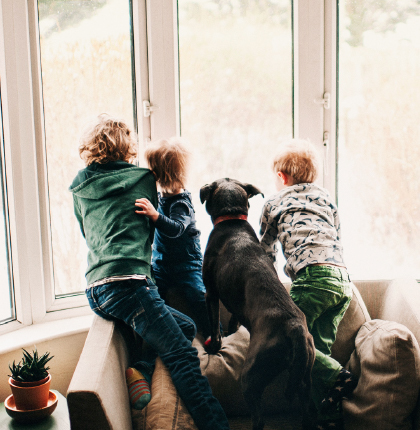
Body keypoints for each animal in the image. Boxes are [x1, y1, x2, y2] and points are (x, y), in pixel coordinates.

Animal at [200, 177, 316, 430]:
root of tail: (294, 328)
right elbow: (233, 318)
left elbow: (214, 323)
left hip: (251, 375)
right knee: (307, 408)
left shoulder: (211, 293)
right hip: (304, 377)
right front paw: (231, 330)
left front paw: (214, 345)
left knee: (259, 418)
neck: (231, 218)